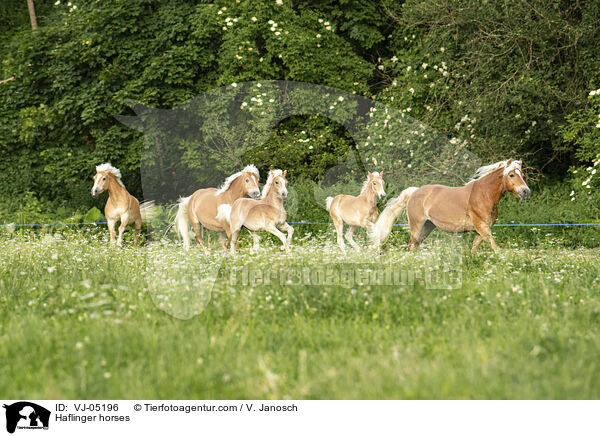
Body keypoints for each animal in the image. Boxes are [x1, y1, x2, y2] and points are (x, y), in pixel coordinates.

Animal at [368, 160, 532, 254]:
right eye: (511, 175)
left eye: (522, 174)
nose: (526, 192)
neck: (483, 195)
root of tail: (415, 191)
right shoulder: (483, 228)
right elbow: (496, 248)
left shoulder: (479, 233)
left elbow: (474, 251)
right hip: (417, 226)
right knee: (411, 245)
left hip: (427, 227)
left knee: (415, 246)